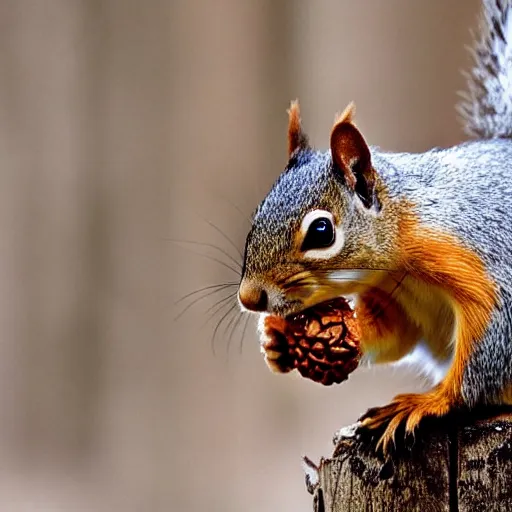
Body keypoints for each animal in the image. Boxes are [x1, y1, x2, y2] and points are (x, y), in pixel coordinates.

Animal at [238, 0, 512, 452]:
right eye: (257, 214)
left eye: (321, 232)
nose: (249, 297)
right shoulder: (392, 296)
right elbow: (392, 335)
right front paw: (276, 341)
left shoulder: (481, 260)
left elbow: (485, 349)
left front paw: (428, 401)